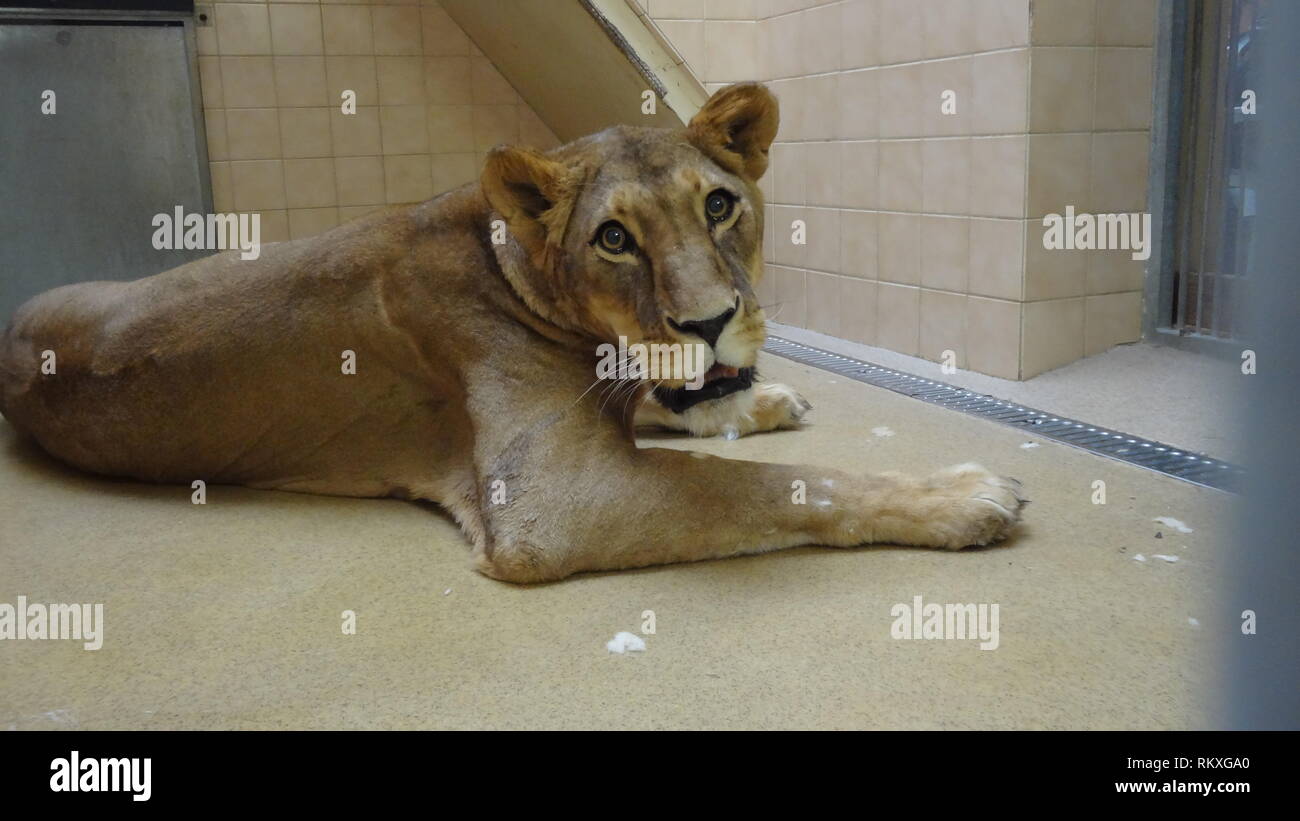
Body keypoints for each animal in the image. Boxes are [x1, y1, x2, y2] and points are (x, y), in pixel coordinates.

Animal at [0, 83, 1024, 582]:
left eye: (720, 205)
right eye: (615, 238)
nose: (709, 323)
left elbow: (671, 408)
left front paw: (765, 396)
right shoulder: (551, 505)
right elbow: (769, 487)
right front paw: (965, 494)